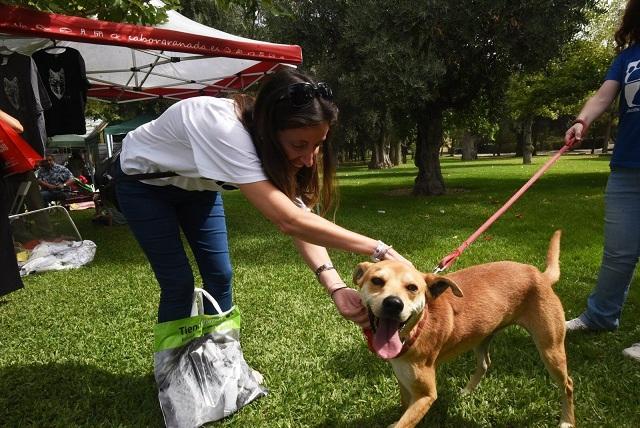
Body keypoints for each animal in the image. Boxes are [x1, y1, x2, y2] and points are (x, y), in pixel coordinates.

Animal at [356, 232, 576, 426]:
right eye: (377, 281)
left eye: (412, 288)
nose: (394, 303)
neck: (416, 329)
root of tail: (541, 276)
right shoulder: (403, 379)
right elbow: (403, 408)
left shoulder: (425, 395)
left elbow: (405, 422)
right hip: (481, 337)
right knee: (485, 363)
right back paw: (467, 391)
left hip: (550, 350)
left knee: (568, 384)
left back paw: (567, 421)